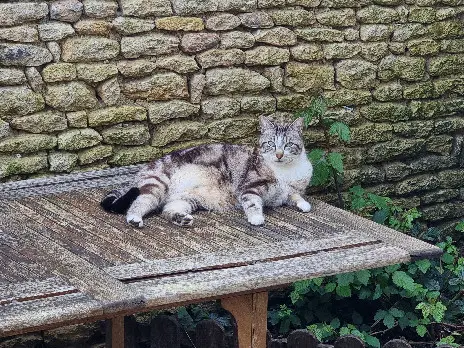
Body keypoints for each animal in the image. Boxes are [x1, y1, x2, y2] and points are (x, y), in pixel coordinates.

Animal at [99, 115, 314, 227]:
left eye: (288, 145)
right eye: (270, 144)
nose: (279, 154)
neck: (285, 171)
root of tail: (145, 169)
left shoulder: (290, 191)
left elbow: (295, 196)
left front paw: (304, 204)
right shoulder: (249, 186)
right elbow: (252, 202)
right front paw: (256, 218)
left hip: (187, 199)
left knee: (167, 210)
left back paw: (181, 219)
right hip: (157, 185)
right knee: (138, 203)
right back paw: (134, 218)